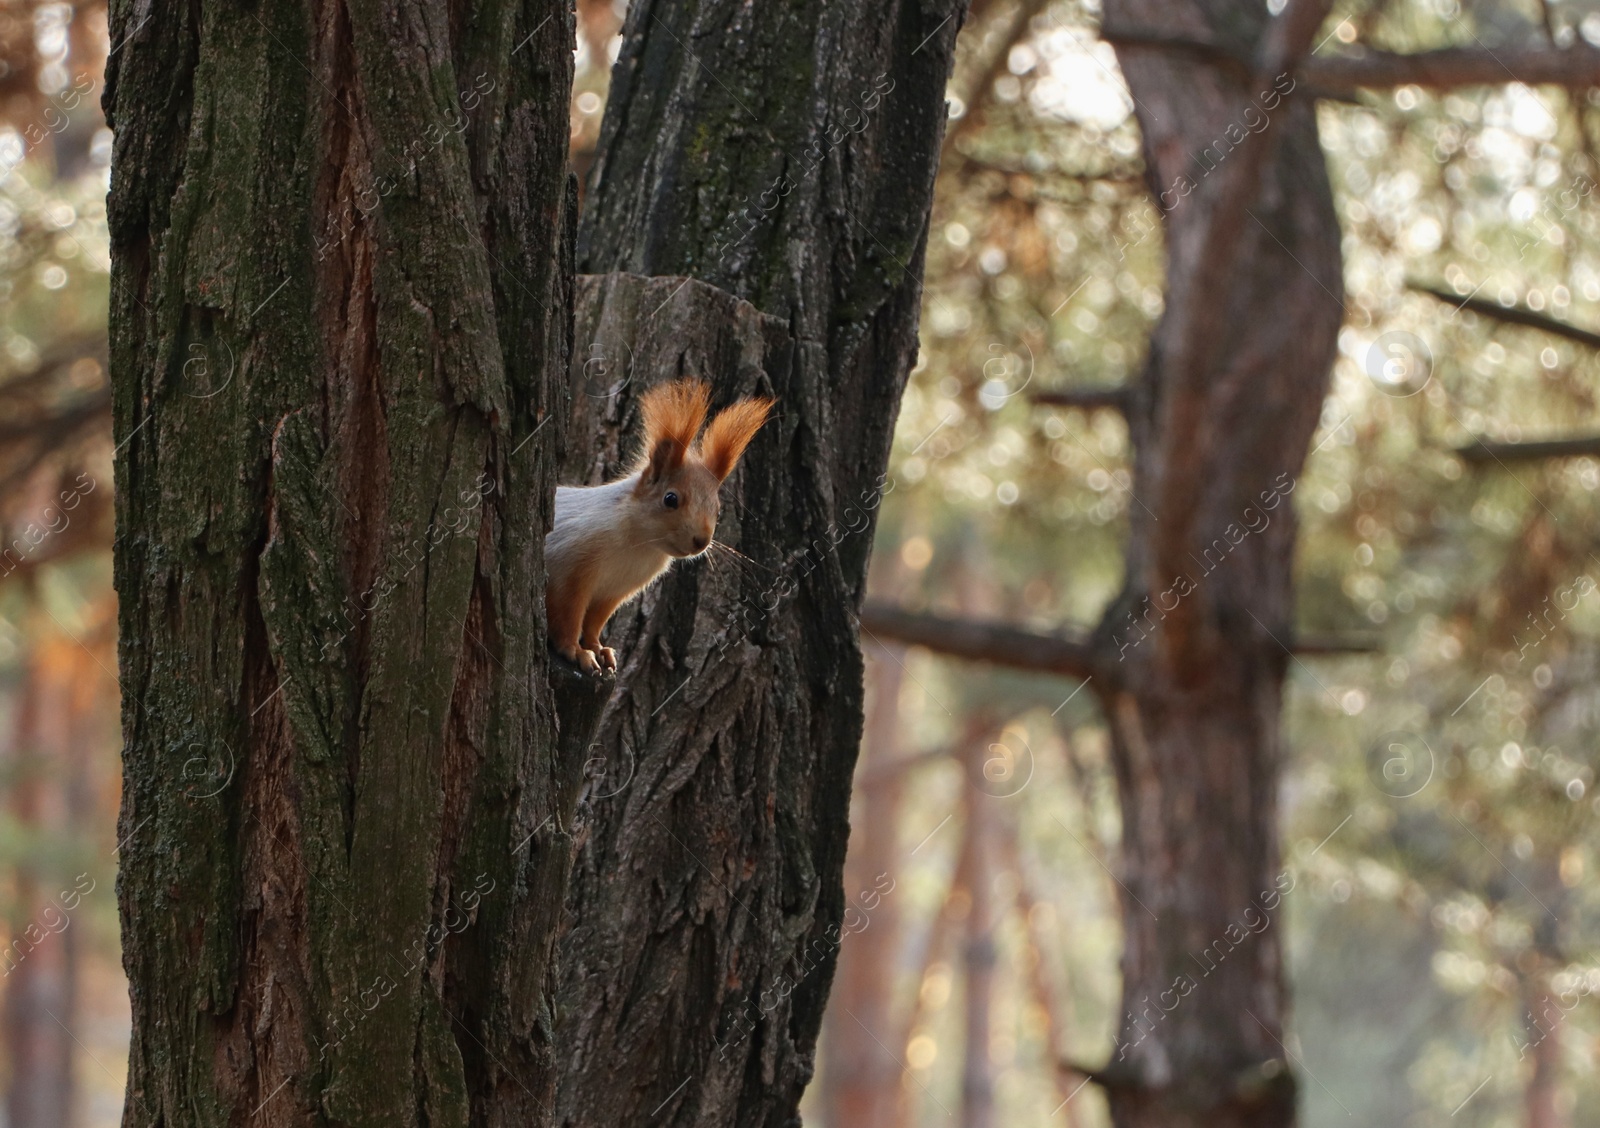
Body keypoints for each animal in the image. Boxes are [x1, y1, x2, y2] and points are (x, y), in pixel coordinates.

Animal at [550, 382, 774, 672]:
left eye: (718, 510)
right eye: (670, 499)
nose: (701, 541)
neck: (639, 546)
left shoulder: (613, 592)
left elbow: (593, 624)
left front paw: (598, 648)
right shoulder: (569, 566)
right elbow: (567, 616)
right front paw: (577, 651)